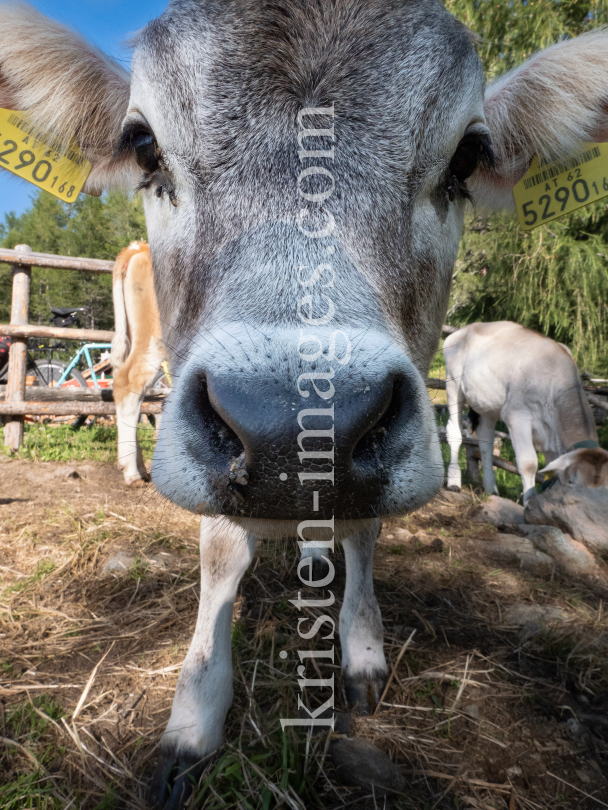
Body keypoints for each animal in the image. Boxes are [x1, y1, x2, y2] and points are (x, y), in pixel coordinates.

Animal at [442, 320, 608, 498]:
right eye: (572, 483)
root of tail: (469, 327)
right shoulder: (515, 415)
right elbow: (528, 463)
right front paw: (529, 499)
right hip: (453, 384)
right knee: (455, 431)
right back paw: (454, 482)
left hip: (486, 405)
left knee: (485, 442)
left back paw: (491, 489)